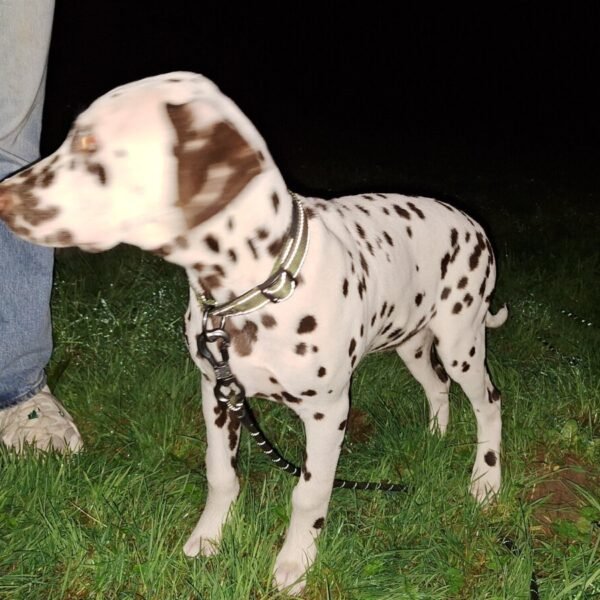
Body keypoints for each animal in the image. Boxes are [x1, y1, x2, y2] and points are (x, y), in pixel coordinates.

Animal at [0, 72, 506, 592]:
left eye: (90, 145)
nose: (2, 197)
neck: (257, 286)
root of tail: (472, 224)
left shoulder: (328, 413)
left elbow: (309, 494)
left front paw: (296, 562)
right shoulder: (218, 393)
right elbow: (221, 474)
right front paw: (208, 537)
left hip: (462, 344)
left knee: (489, 403)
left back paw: (485, 483)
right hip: (412, 344)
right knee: (437, 386)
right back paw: (436, 437)